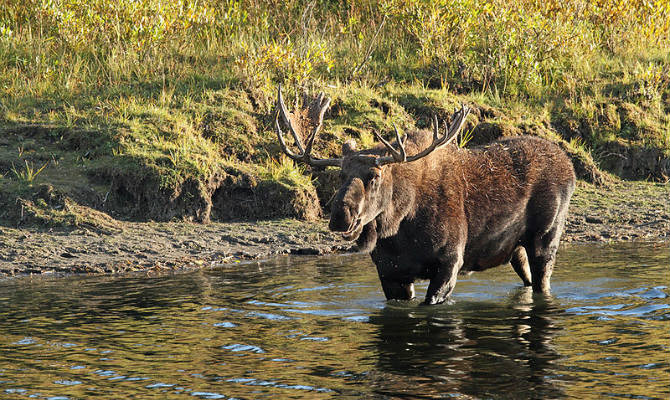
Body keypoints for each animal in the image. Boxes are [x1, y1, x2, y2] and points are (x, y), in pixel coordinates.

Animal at [273, 86, 576, 305]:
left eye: (375, 176)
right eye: (340, 174)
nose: (340, 216)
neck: (399, 225)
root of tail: (569, 164)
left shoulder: (450, 261)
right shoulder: (390, 272)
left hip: (546, 237)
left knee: (543, 280)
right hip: (516, 248)